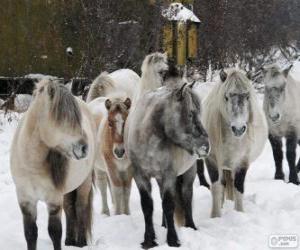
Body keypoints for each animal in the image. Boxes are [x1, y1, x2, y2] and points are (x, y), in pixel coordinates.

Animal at [9, 79, 96, 250]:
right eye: (62, 117)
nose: (84, 148)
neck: (31, 165)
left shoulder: (53, 200)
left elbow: (55, 232)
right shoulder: (25, 199)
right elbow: (30, 233)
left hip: (85, 182)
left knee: (80, 207)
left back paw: (81, 242)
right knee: (69, 208)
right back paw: (70, 241)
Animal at [126, 66, 209, 248]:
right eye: (190, 114)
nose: (206, 146)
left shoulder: (169, 174)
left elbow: (169, 204)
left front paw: (172, 239)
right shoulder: (140, 175)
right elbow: (147, 206)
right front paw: (149, 240)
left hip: (189, 172)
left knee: (186, 196)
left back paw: (190, 225)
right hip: (158, 177)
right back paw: (164, 225)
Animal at [200, 69, 268, 217]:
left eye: (247, 96)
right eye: (226, 97)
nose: (239, 128)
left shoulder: (242, 162)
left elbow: (239, 188)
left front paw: (239, 213)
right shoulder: (212, 160)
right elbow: (216, 187)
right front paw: (215, 216)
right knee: (223, 184)